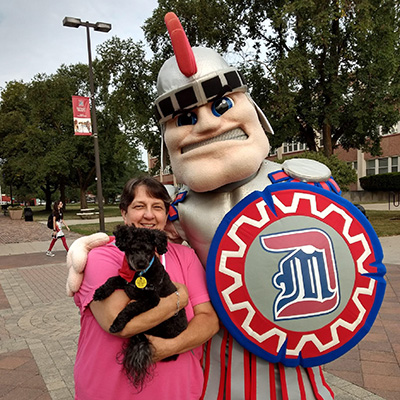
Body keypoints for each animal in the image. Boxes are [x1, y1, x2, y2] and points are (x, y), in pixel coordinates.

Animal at [93, 227, 188, 390]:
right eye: (133, 248)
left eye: (149, 251)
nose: (141, 263)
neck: (141, 274)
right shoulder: (125, 281)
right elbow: (112, 279)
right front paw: (101, 291)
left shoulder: (151, 300)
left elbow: (131, 307)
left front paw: (118, 323)